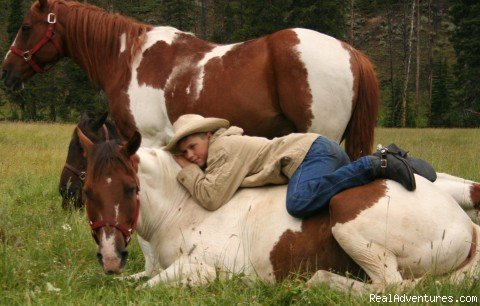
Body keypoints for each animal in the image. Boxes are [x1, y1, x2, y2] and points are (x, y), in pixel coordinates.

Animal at [76, 129, 480, 292]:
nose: (110, 256)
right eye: (86, 191)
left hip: (349, 221)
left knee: (391, 288)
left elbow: (147, 288)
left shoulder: (203, 269)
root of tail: (466, 226)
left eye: (130, 188)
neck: (181, 208)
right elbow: (133, 280)